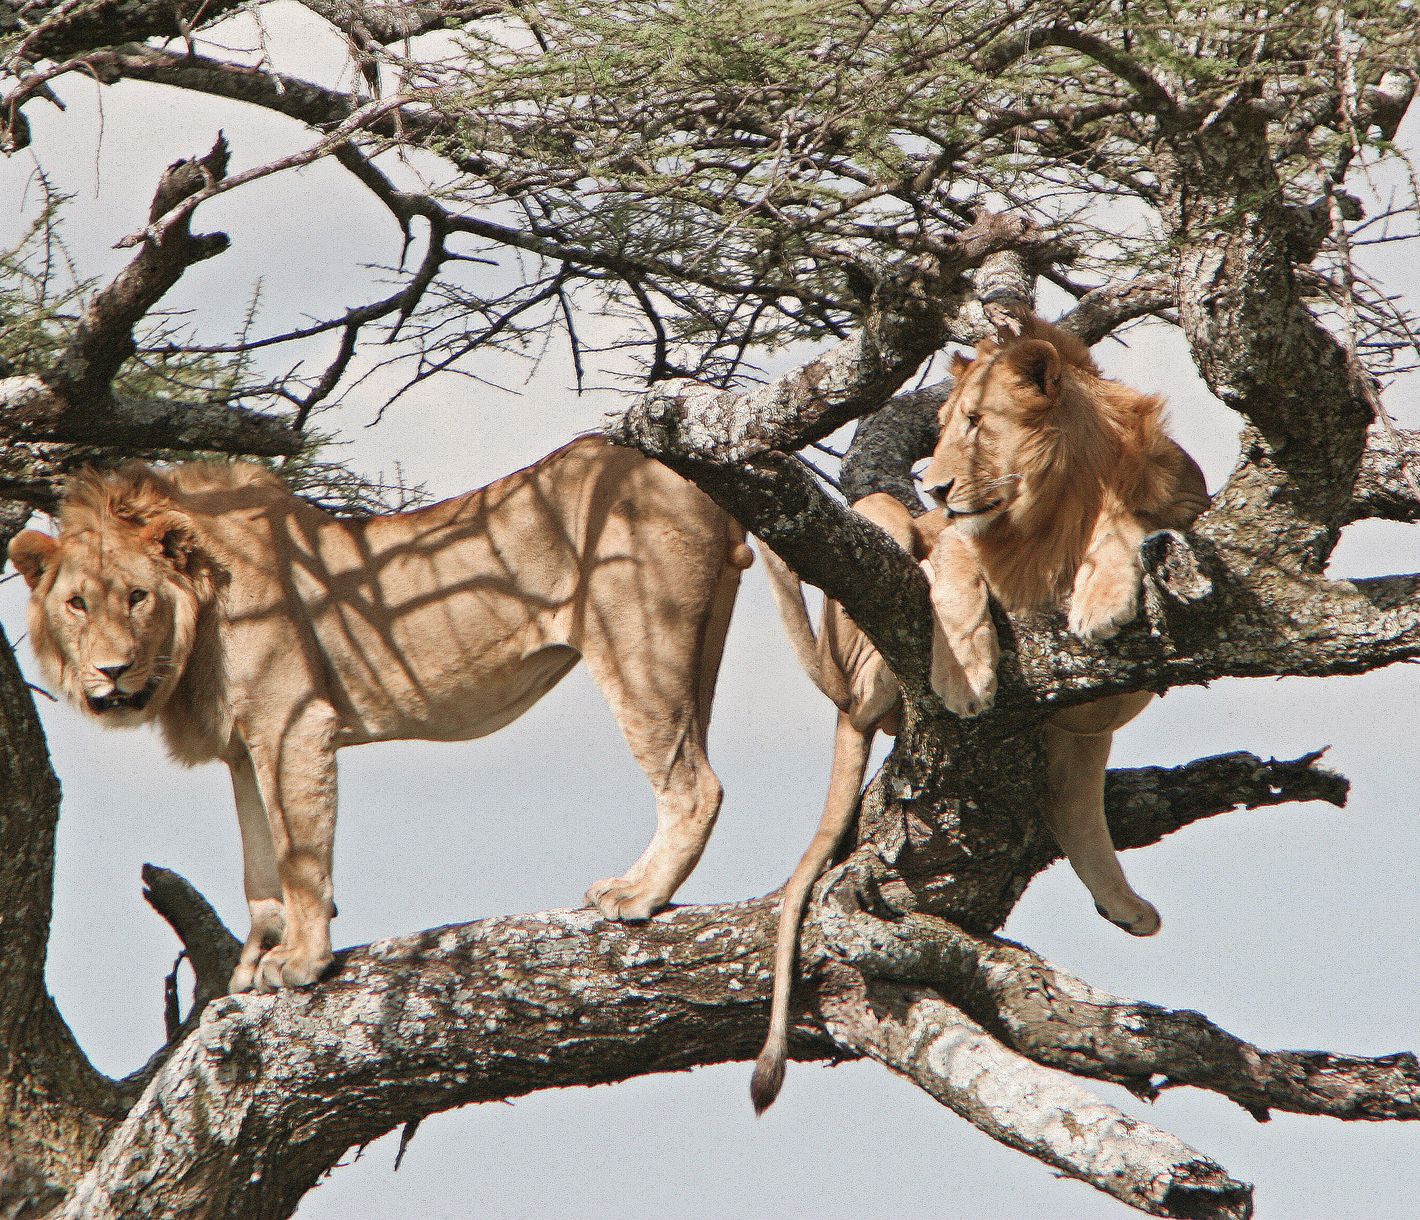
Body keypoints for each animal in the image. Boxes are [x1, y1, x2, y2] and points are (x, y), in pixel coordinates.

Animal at [9, 436, 752, 994]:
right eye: (77, 604)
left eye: (137, 597)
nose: (111, 671)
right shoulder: (246, 745)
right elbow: (259, 865)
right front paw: (256, 959)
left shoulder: (293, 723)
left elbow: (299, 855)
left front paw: (301, 962)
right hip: (697, 650)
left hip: (637, 643)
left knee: (695, 786)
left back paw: (637, 894)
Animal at [750, 317, 1208, 1111]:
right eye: (941, 428)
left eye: (974, 423)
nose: (934, 483)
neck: (1050, 511)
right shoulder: (950, 535)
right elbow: (955, 564)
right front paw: (963, 672)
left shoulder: (1182, 507)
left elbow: (1129, 524)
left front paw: (1102, 595)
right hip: (874, 547)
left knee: (1073, 795)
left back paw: (1124, 904)